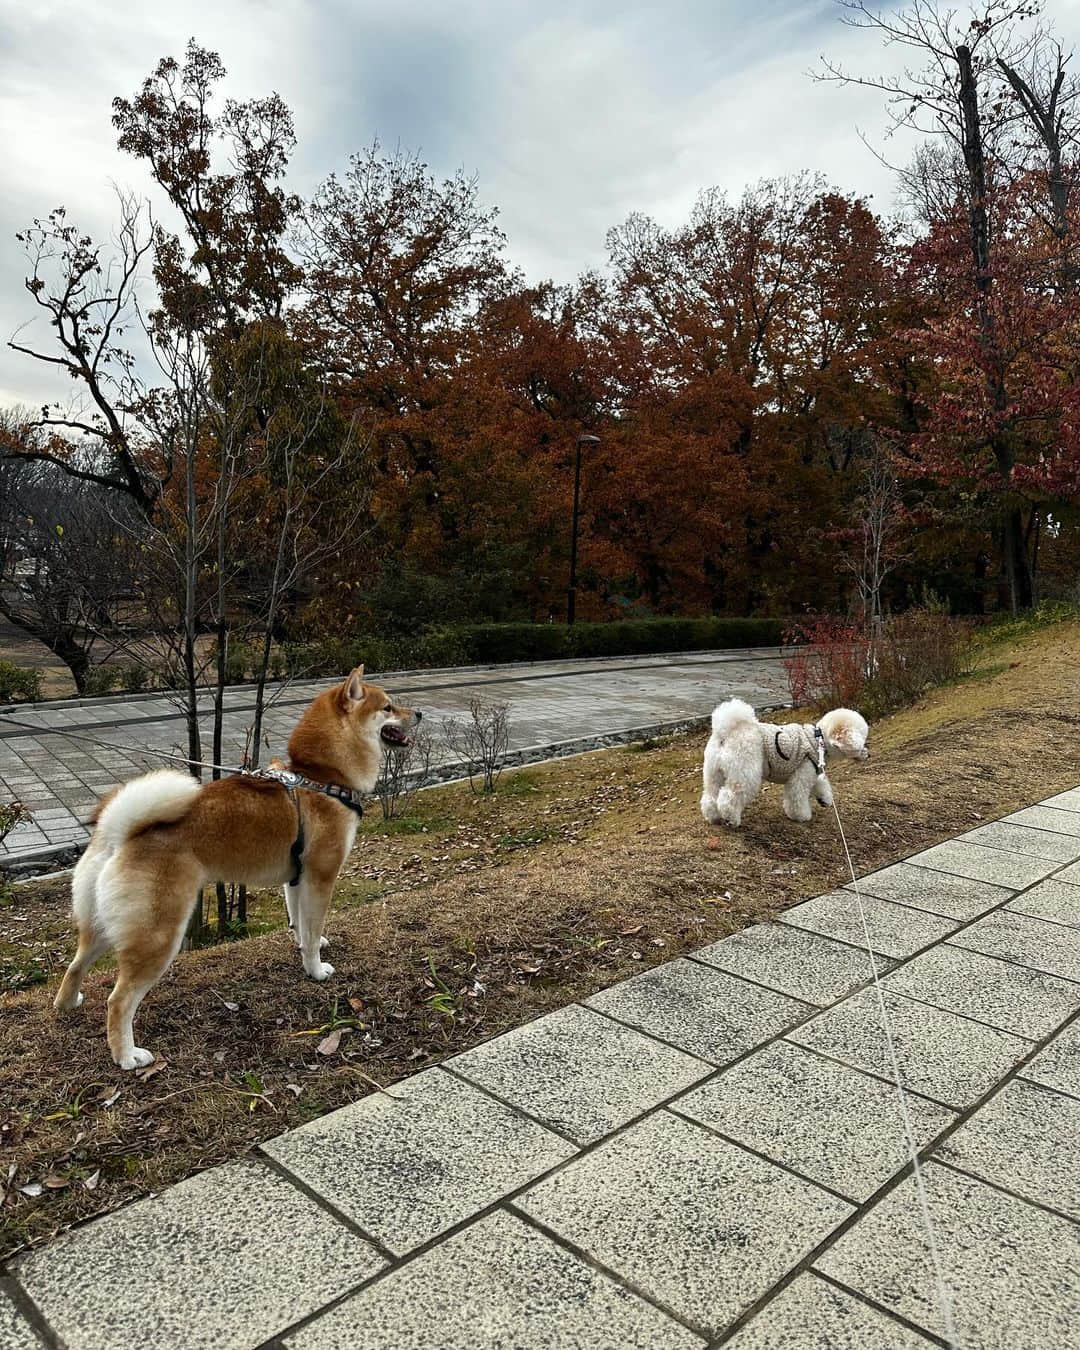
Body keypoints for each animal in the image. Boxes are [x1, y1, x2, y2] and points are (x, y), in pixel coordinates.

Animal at [53, 664, 421, 1063]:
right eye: (387, 707)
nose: (418, 713)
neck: (320, 776)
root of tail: (118, 834)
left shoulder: (296, 880)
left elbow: (300, 926)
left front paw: (307, 947)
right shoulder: (321, 876)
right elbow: (311, 929)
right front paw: (316, 970)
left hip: (102, 924)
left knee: (75, 964)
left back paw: (68, 1003)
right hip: (158, 934)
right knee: (118, 1001)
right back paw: (127, 1056)